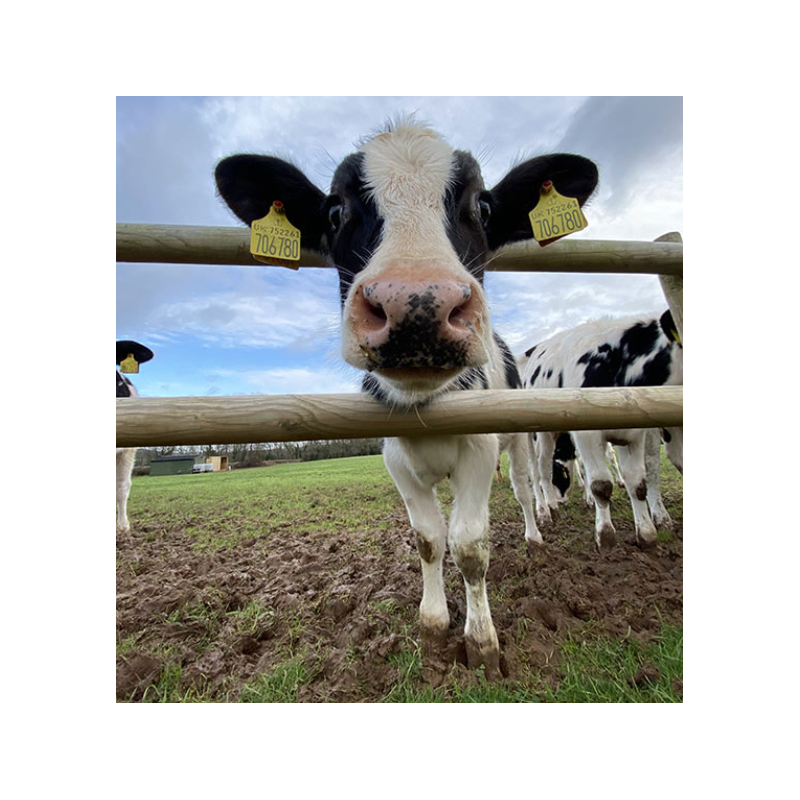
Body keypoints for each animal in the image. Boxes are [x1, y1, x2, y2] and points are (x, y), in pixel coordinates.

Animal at [215, 117, 598, 677]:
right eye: (335, 211)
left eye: (483, 208)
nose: (418, 306)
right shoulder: (395, 458)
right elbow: (429, 540)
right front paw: (434, 625)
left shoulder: (481, 450)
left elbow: (469, 545)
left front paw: (481, 641)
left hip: (520, 438)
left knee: (527, 489)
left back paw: (534, 533)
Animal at [520, 311, 682, 552]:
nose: (561, 500)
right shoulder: (586, 436)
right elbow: (600, 484)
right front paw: (604, 535)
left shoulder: (633, 434)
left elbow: (638, 483)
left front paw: (646, 532)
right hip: (538, 437)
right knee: (540, 469)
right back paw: (547, 509)